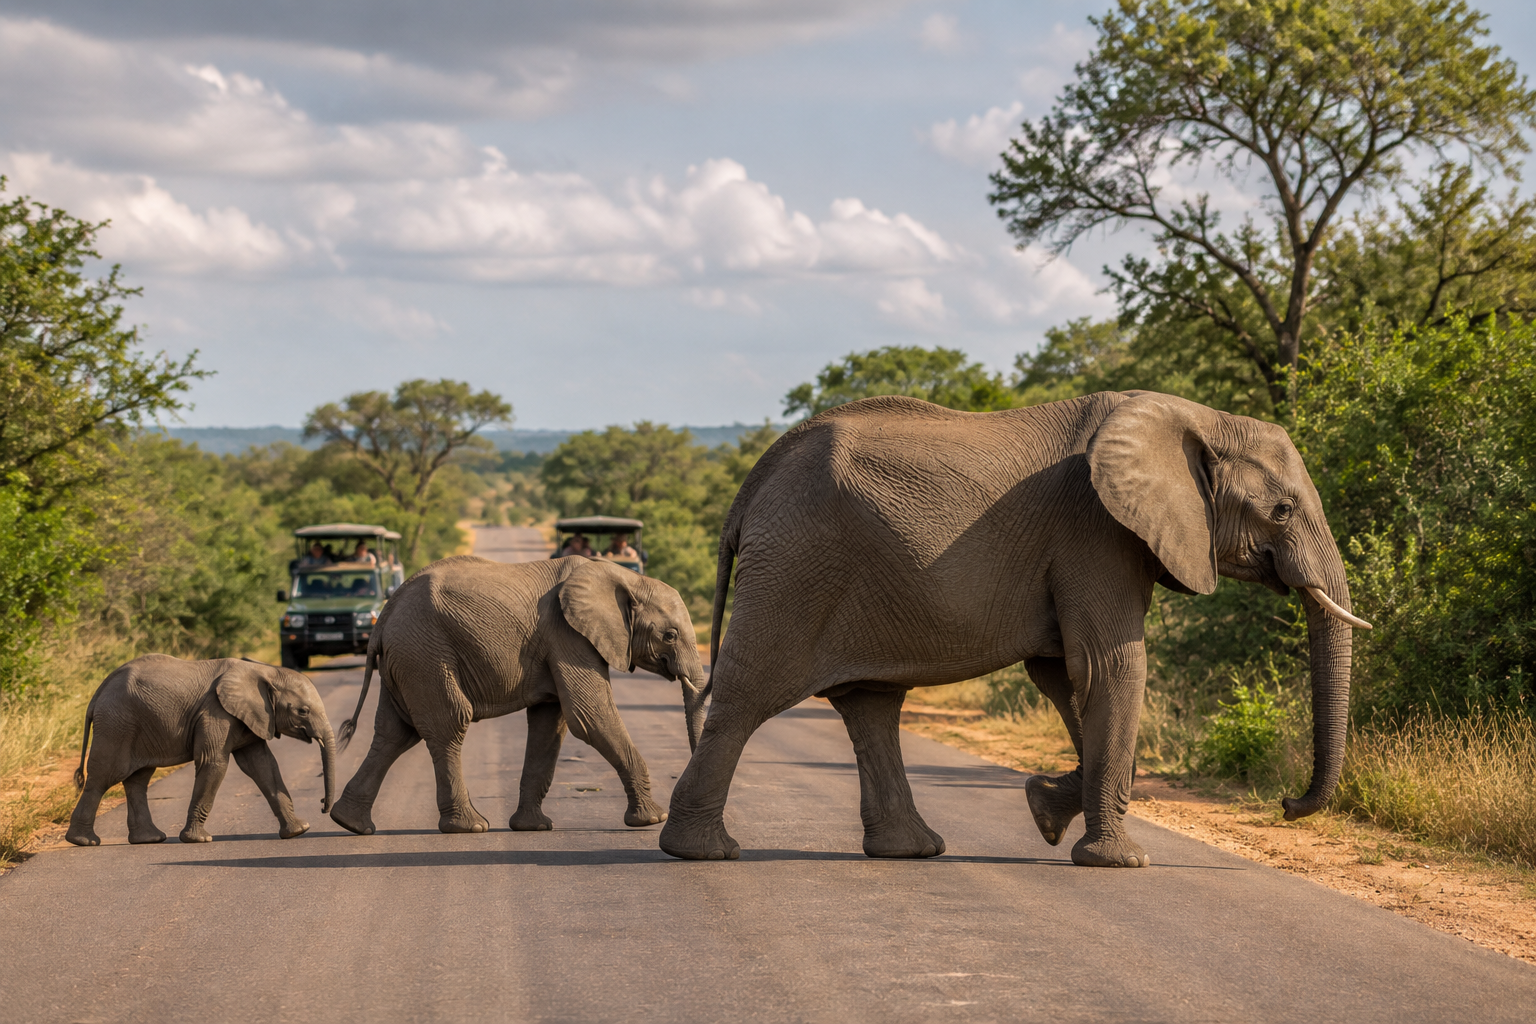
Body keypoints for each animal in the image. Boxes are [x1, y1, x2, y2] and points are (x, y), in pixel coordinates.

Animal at [66, 655, 337, 846]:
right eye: (303, 711)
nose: (323, 805)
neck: (264, 670)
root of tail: (98, 692)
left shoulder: (251, 717)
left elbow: (263, 765)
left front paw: (298, 831)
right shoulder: (217, 712)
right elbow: (214, 763)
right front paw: (199, 840)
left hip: (138, 726)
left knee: (138, 779)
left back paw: (149, 839)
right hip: (117, 724)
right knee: (105, 776)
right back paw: (83, 841)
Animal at [329, 555, 706, 837]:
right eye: (670, 635)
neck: (624, 577)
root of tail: (383, 617)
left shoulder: (559, 642)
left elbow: (550, 725)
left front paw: (533, 828)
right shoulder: (568, 635)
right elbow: (589, 715)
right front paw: (652, 820)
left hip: (406, 659)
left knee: (394, 734)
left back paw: (350, 823)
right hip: (425, 654)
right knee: (448, 725)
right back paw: (471, 826)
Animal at [659, 391, 1372, 867]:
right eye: (1283, 510)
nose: (1286, 805)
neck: (1192, 417)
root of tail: (751, 485)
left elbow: (1063, 674)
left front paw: (1046, 809)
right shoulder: (1096, 530)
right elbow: (1110, 666)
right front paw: (1117, 861)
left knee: (871, 706)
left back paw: (912, 851)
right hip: (795, 567)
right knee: (750, 696)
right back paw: (703, 852)